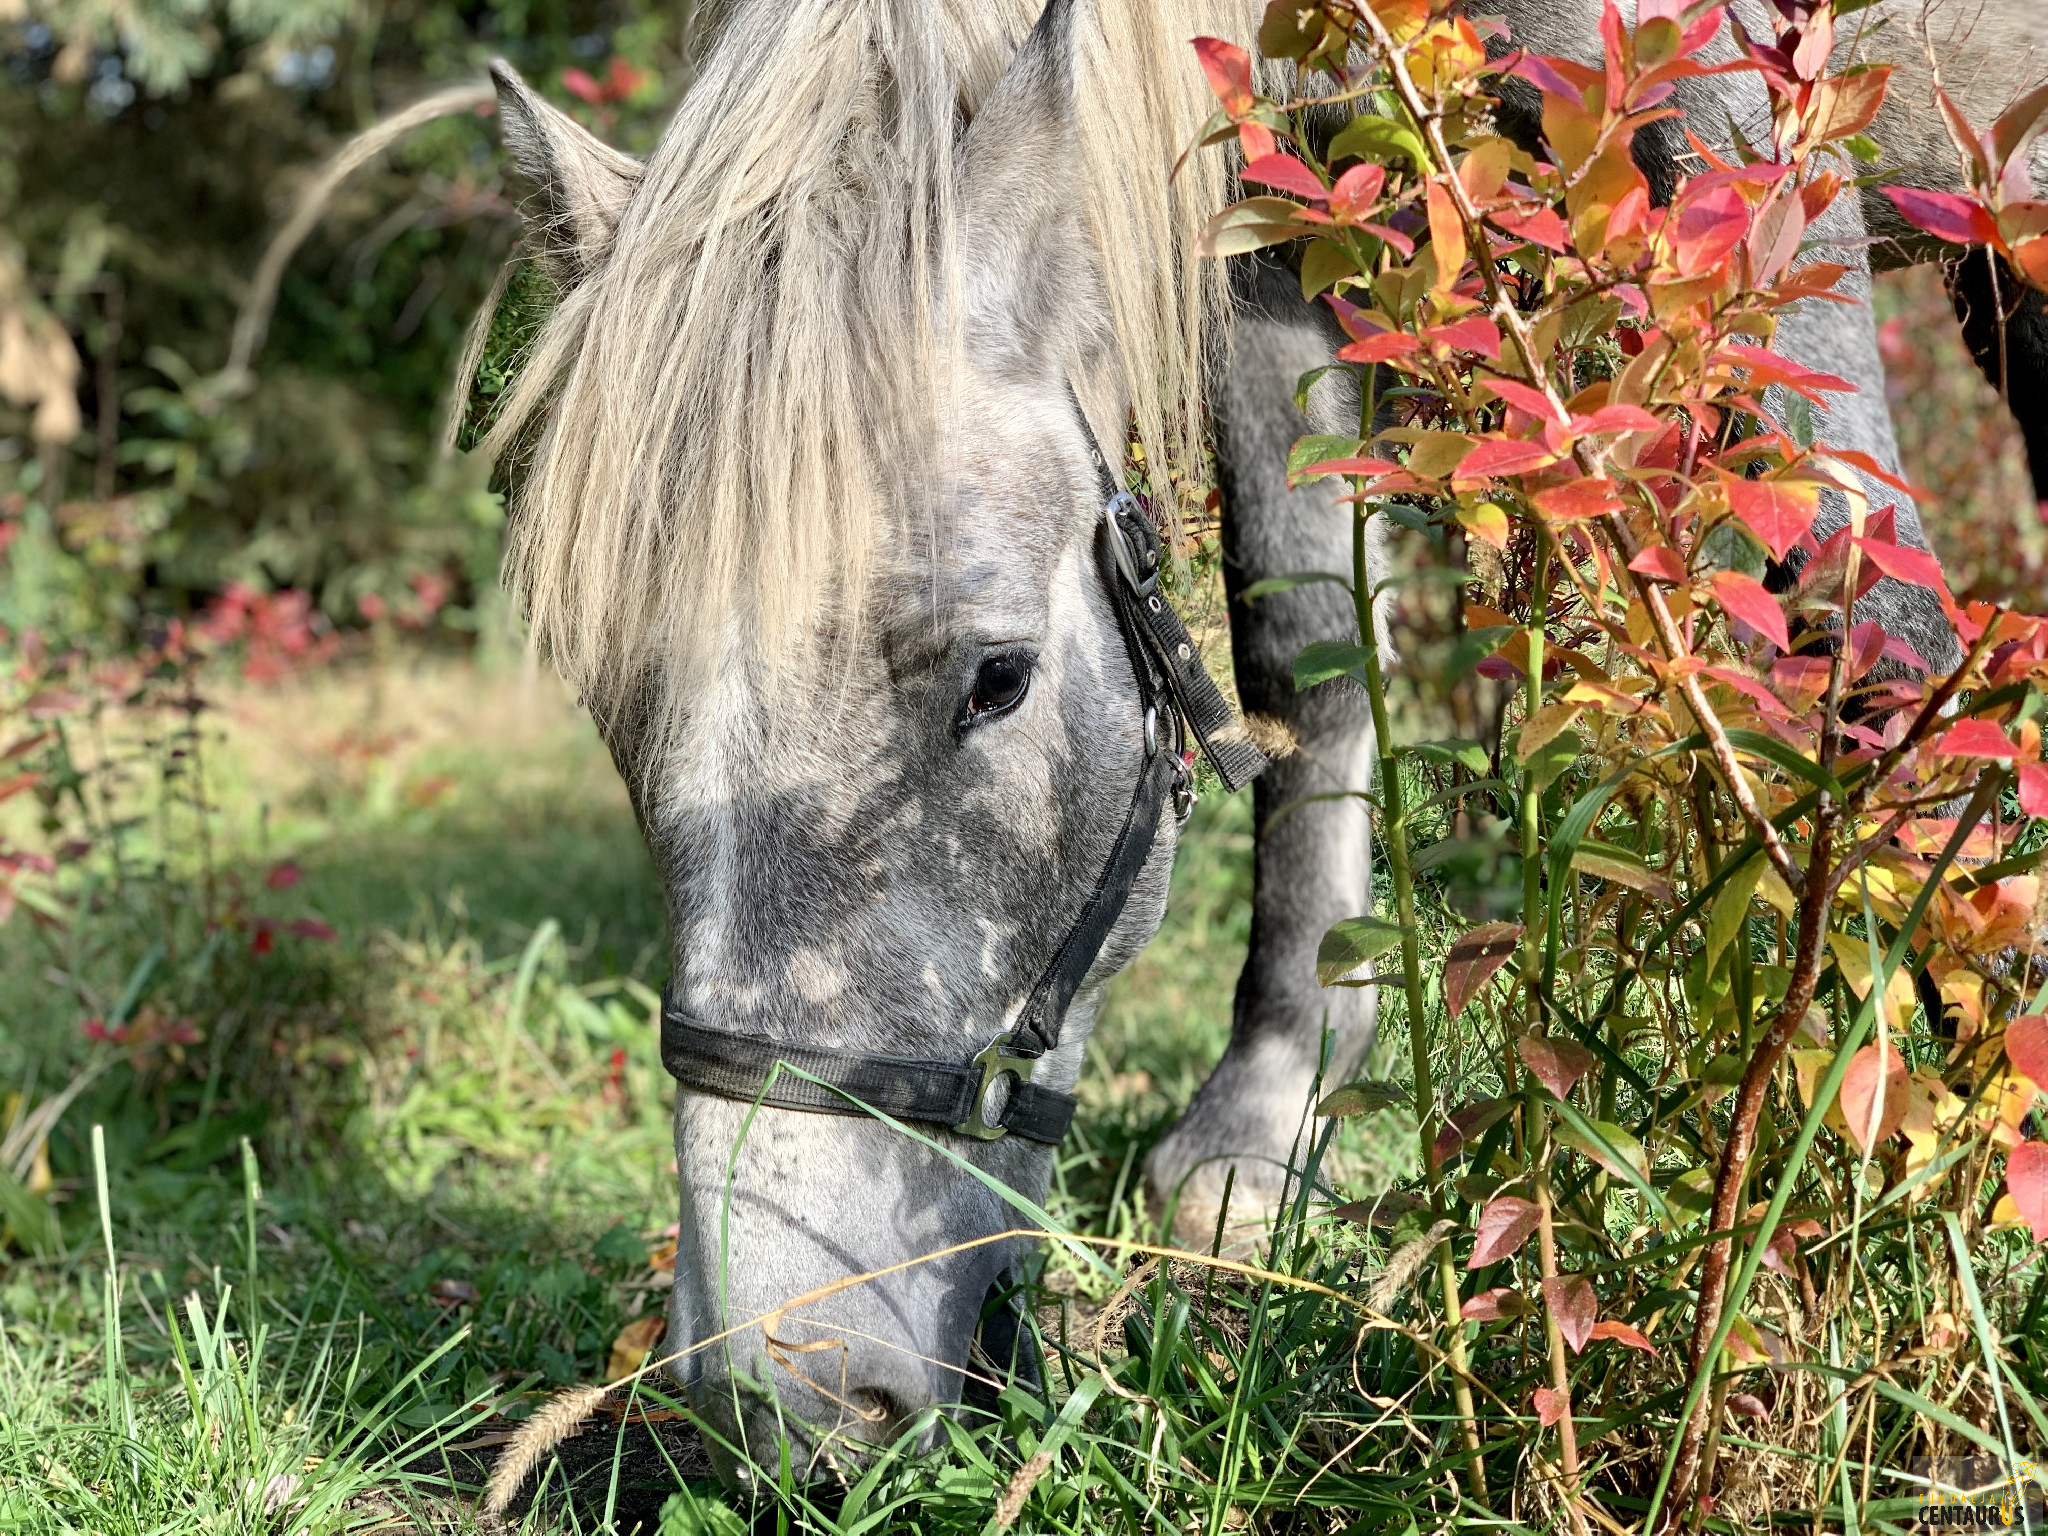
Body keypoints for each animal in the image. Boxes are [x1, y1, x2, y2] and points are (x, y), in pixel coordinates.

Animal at [487, 0, 2039, 1490]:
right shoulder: (1276, 253)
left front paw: (1937, 1162)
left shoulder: (1743, 135)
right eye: (613, 714)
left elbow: (1872, 601)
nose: (784, 1398)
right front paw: (1273, 1107)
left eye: (996, 682)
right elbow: (1304, 642)